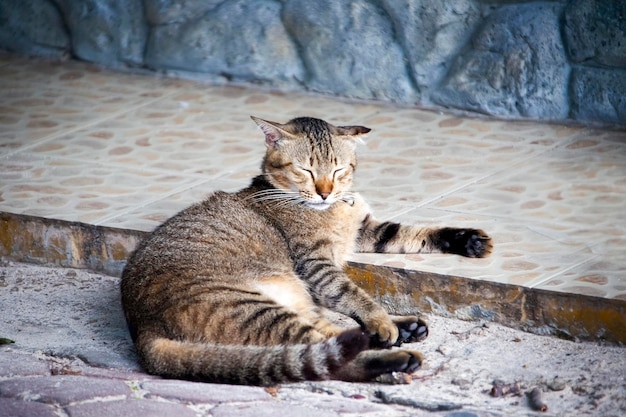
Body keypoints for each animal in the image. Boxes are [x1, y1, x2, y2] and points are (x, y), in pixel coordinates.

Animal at [120, 115, 492, 386]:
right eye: (306, 170)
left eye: (338, 169)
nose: (325, 191)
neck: (334, 209)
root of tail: (143, 330)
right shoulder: (315, 264)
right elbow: (354, 294)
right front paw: (380, 319)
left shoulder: (367, 230)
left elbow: (414, 233)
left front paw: (467, 240)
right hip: (253, 307)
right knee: (324, 351)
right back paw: (396, 353)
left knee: (330, 338)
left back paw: (403, 331)